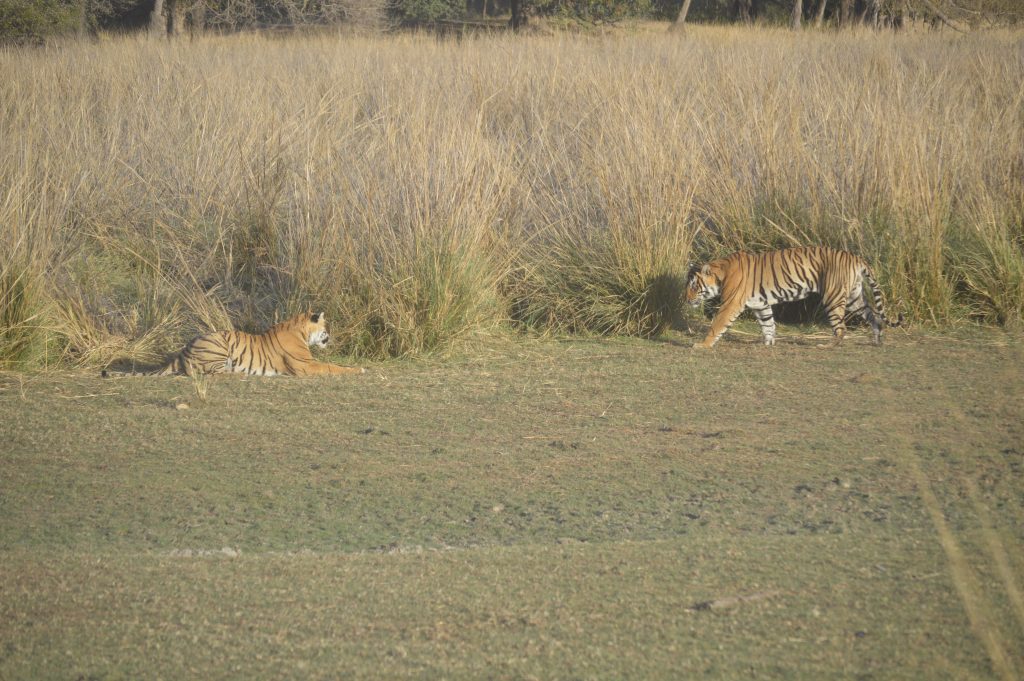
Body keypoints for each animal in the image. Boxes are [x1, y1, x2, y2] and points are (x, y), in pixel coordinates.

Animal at [684, 245, 901, 348]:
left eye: (694, 286)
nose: (686, 299)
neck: (721, 272)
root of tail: (855, 257)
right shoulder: (760, 304)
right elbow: (768, 324)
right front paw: (767, 343)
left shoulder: (730, 303)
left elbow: (717, 325)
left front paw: (702, 345)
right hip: (854, 298)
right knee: (874, 317)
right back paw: (877, 340)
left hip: (833, 297)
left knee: (841, 328)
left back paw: (826, 345)